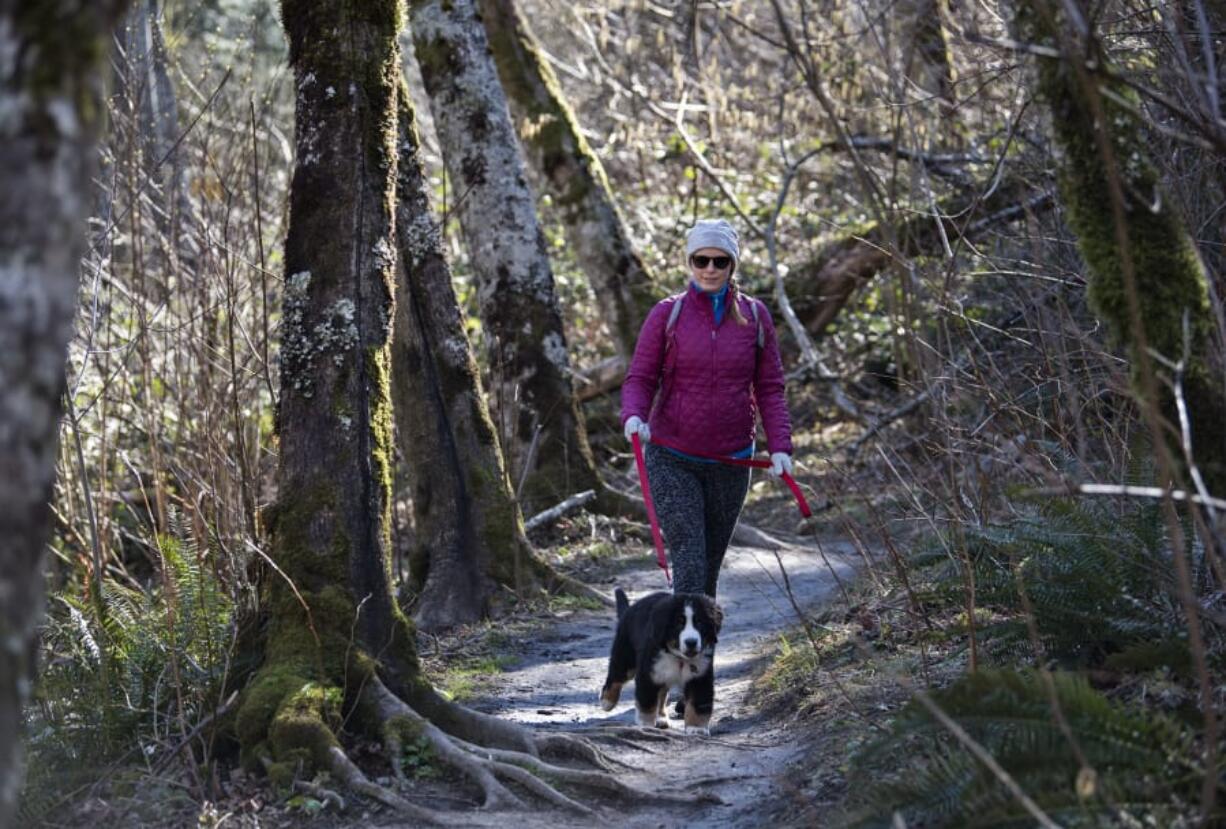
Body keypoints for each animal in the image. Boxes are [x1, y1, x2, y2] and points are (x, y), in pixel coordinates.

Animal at [598, 586, 720, 735]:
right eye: (679, 623)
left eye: (700, 623)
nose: (691, 642)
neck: (679, 658)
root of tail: (630, 609)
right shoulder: (648, 673)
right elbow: (647, 702)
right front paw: (646, 725)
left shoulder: (700, 676)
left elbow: (697, 703)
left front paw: (696, 728)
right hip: (626, 656)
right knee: (616, 677)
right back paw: (607, 701)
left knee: (661, 695)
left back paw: (661, 718)